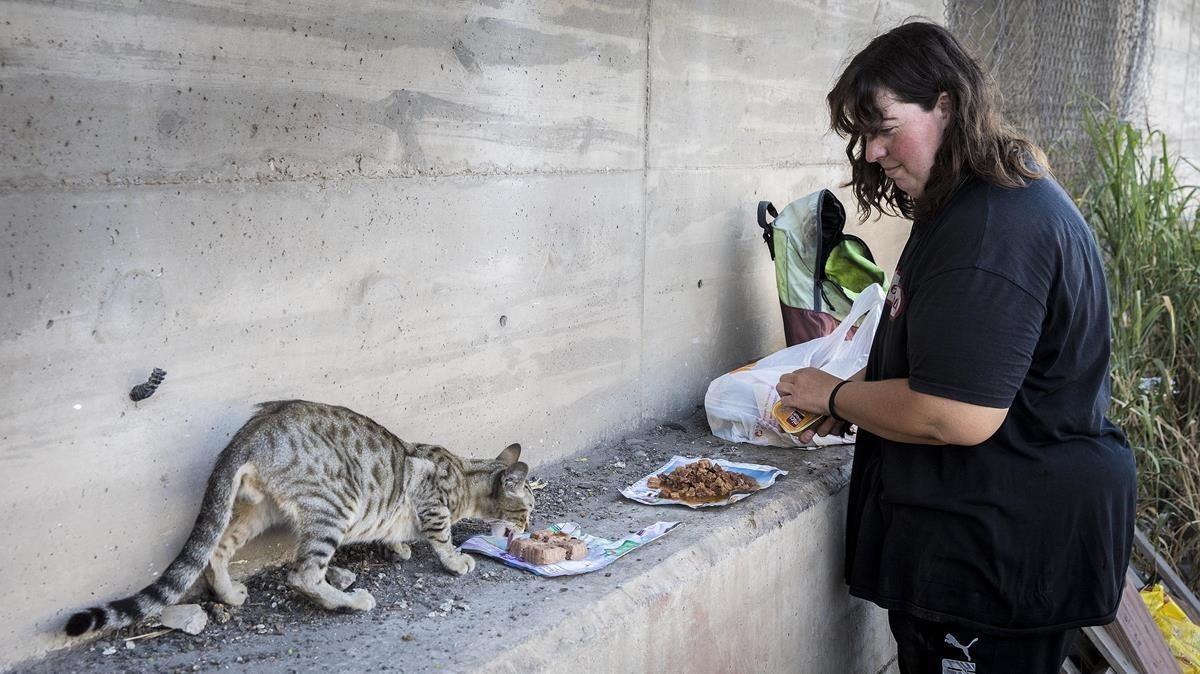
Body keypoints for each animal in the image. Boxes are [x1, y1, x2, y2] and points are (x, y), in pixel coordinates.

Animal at [64, 398, 535, 633]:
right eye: (528, 509)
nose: (530, 525)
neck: (465, 474)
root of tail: (251, 431)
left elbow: (397, 531)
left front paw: (398, 546)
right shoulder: (433, 506)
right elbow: (442, 538)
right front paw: (456, 560)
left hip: (260, 509)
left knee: (216, 548)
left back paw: (230, 594)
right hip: (335, 506)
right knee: (302, 575)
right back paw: (350, 601)